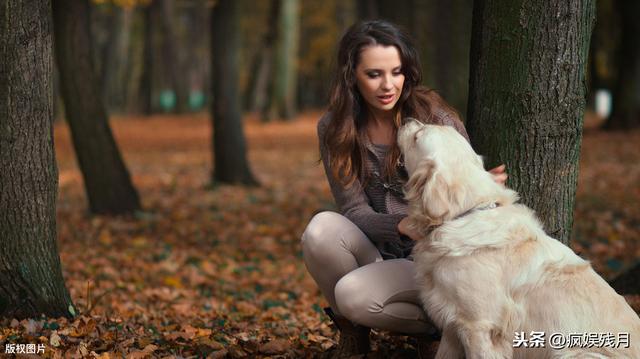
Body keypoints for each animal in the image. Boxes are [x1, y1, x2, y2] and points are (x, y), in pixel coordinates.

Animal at [398, 121, 636, 359]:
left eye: (418, 136)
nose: (408, 120)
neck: (467, 213)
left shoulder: (479, 327)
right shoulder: (452, 324)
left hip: (573, 352)